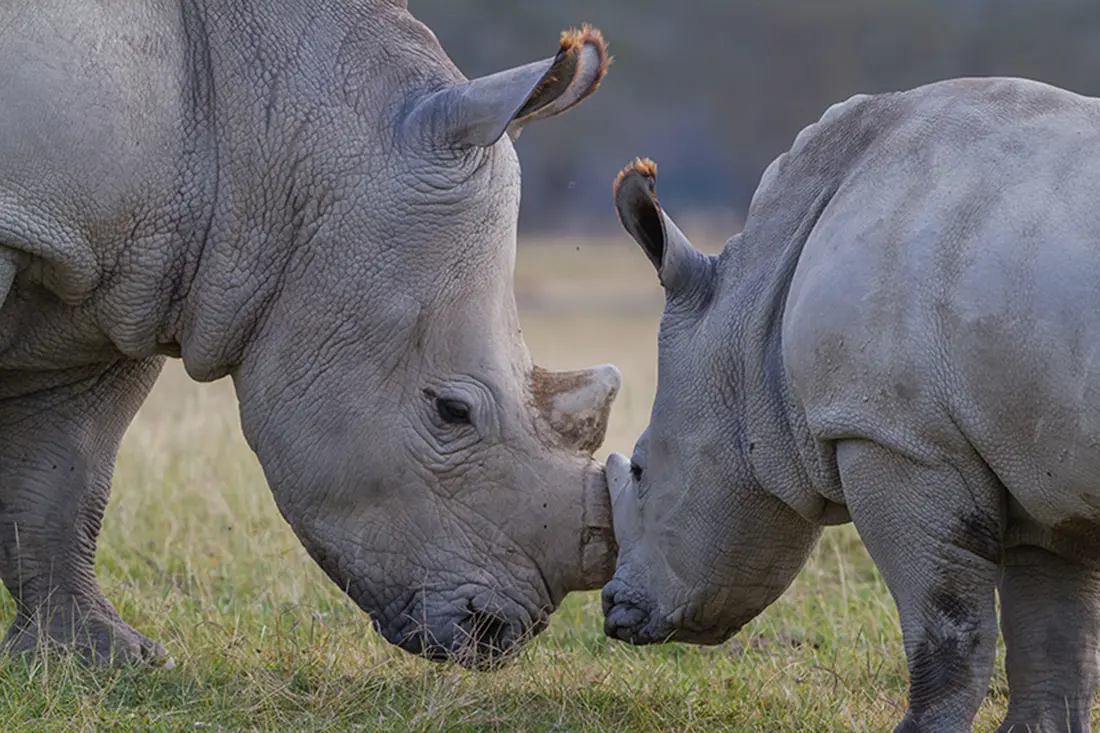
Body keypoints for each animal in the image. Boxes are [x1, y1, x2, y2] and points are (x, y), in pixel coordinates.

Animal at [601, 77, 1100, 732]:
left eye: (639, 469)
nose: (612, 610)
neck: (754, 315)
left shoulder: (897, 438)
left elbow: (947, 631)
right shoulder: (1034, 467)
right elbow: (1055, 641)